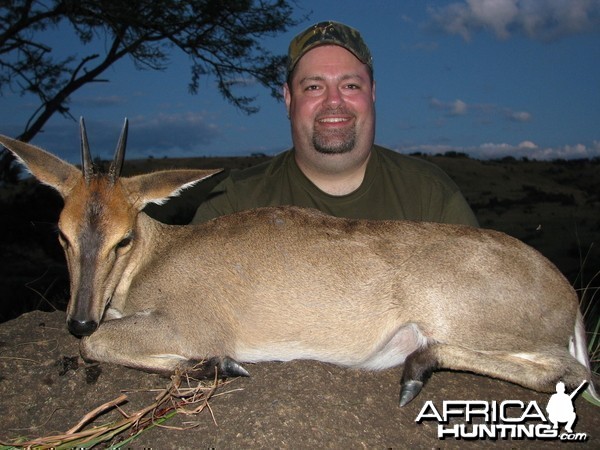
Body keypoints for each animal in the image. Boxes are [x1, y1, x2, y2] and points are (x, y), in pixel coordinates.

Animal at [0, 119, 596, 408]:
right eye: (60, 234)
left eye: (123, 239)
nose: (79, 317)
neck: (158, 255)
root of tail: (568, 298)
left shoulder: (195, 324)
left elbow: (100, 346)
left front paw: (221, 365)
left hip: (473, 323)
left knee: (570, 374)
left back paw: (415, 371)